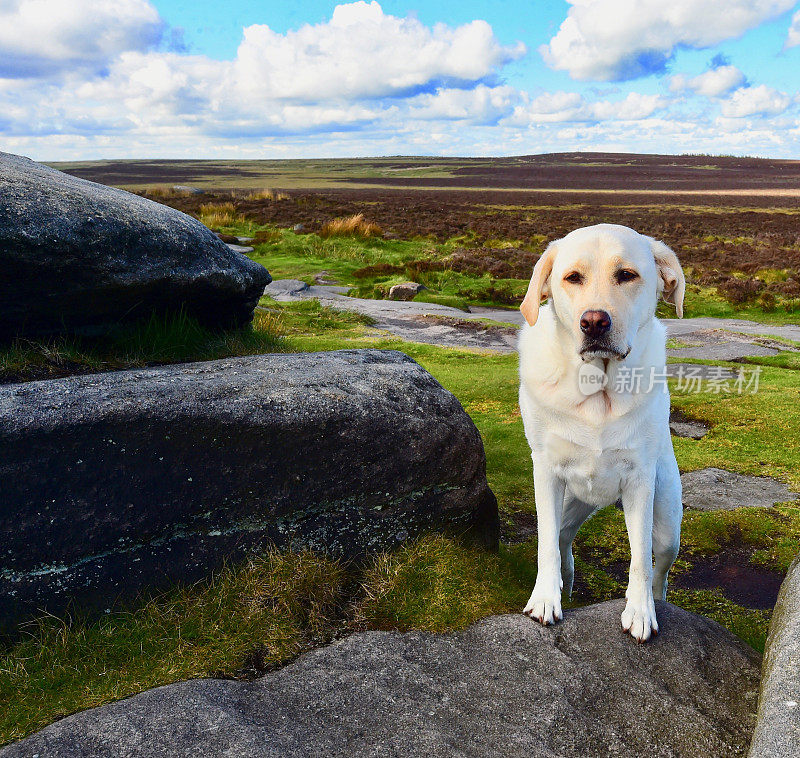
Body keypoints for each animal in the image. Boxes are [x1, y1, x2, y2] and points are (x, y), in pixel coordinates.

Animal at [520, 224, 684, 640]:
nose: (594, 322)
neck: (598, 393)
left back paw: (655, 600)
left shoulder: (640, 481)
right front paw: (545, 599)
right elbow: (546, 544)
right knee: (561, 540)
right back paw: (564, 581)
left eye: (626, 275)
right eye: (572, 277)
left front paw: (640, 612)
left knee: (660, 568)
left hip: (668, 527)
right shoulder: (546, 472)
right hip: (570, 501)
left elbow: (640, 558)